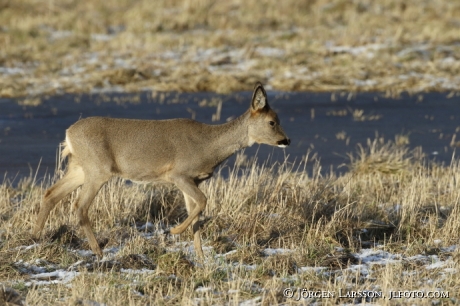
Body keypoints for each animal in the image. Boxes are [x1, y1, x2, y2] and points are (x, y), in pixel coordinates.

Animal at [32, 82, 290, 258]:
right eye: (272, 122)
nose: (286, 140)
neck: (209, 146)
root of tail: (69, 133)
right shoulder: (178, 174)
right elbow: (203, 202)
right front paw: (174, 231)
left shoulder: (194, 180)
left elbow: (196, 212)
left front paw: (201, 258)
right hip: (98, 169)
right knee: (79, 205)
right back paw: (98, 252)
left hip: (79, 168)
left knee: (51, 194)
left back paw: (36, 238)